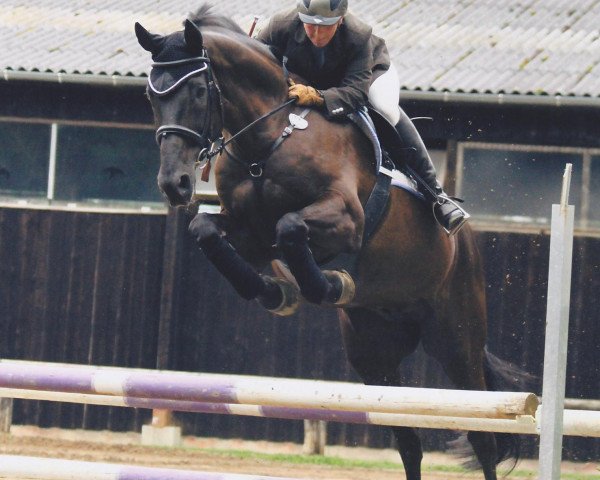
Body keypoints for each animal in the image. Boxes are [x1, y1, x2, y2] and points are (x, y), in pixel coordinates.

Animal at [136, 5, 524, 478]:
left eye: (195, 91)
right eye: (151, 96)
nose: (174, 185)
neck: (272, 137)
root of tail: (466, 242)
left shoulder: (346, 219)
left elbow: (290, 227)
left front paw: (330, 284)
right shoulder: (249, 233)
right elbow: (208, 232)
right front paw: (276, 292)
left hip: (457, 340)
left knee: (483, 435)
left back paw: (443, 211)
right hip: (373, 354)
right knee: (407, 442)